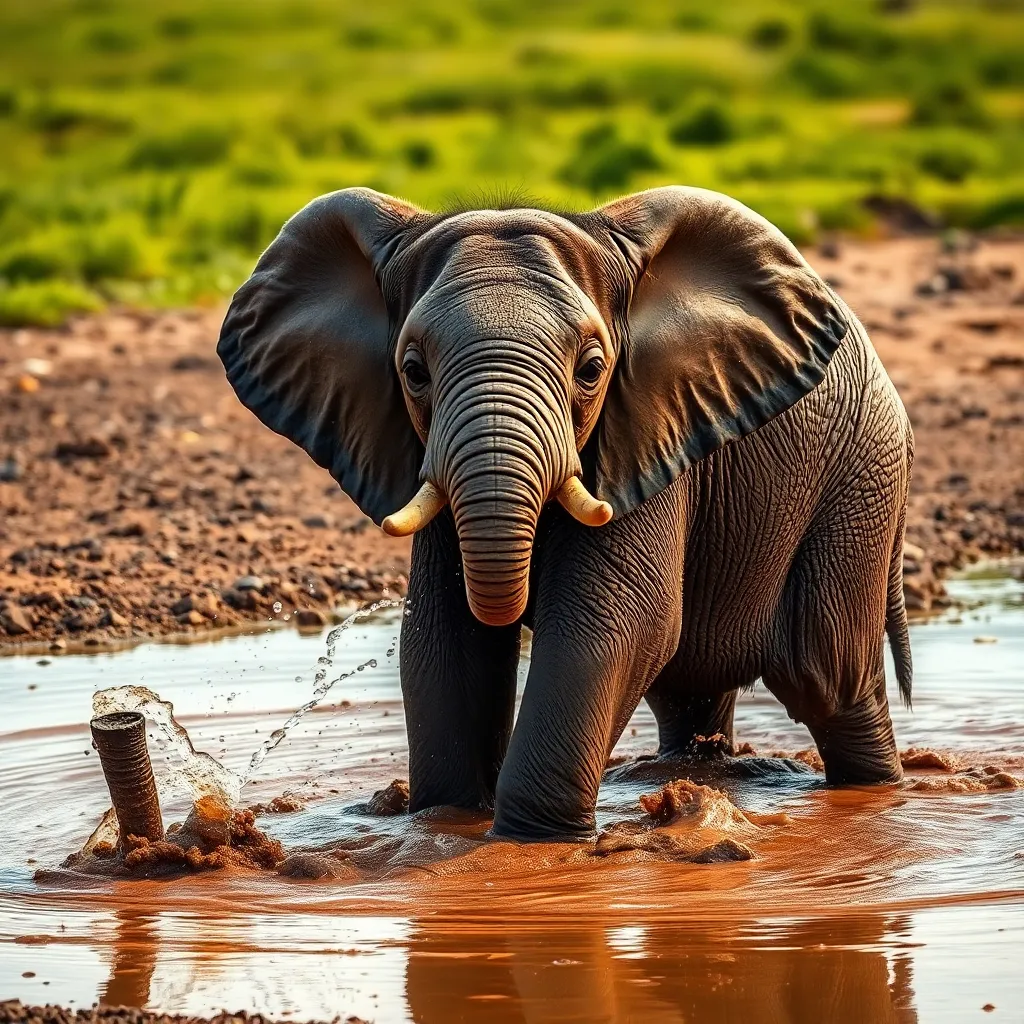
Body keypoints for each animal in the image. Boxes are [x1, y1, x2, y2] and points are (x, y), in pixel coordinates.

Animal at [217, 185, 914, 840]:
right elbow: (443, 638)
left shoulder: (646, 433)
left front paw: (530, 843)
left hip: (861, 479)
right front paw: (443, 823)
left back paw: (874, 793)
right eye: (413, 371)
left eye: (592, 369)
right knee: (690, 692)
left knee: (825, 678)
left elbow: (613, 625)